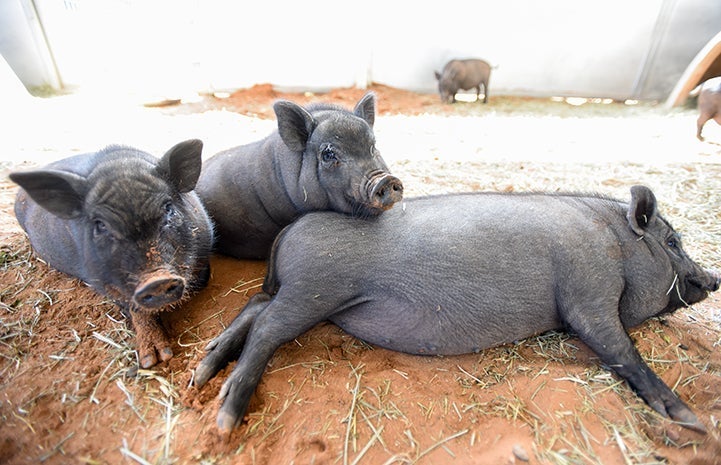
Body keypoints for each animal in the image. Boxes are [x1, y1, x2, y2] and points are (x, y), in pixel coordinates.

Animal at [10, 140, 214, 368]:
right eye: (101, 225)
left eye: (168, 208)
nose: (156, 280)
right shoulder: (100, 280)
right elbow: (135, 309)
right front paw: (154, 359)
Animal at [194, 186, 719, 435]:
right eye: (672, 242)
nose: (713, 278)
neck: (615, 245)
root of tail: (292, 227)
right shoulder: (588, 295)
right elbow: (623, 353)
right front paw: (692, 421)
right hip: (314, 290)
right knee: (266, 327)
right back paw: (225, 417)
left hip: (297, 291)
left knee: (253, 306)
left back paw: (200, 375)